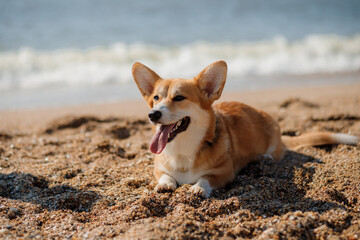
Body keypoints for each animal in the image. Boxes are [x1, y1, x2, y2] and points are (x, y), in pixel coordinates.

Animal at [131, 61, 358, 198]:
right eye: (156, 98)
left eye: (179, 97)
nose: (153, 114)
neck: (183, 150)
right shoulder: (159, 168)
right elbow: (165, 176)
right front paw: (166, 185)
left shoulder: (224, 173)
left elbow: (206, 179)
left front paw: (198, 188)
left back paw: (265, 157)